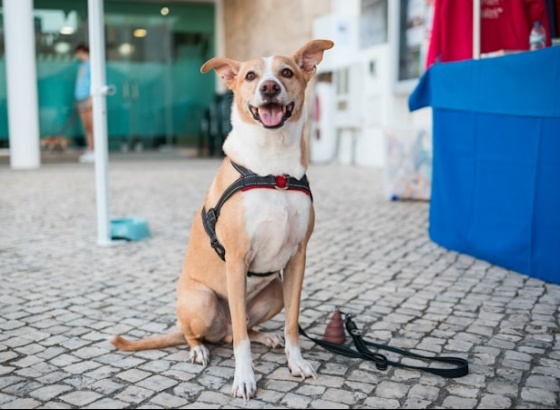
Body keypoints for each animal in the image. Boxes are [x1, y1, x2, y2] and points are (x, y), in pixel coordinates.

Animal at [111, 40, 334, 398]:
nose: (269, 88)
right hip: (202, 302)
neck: (274, 172)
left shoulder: (298, 259)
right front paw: (244, 378)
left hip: (274, 292)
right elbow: (241, 340)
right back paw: (199, 349)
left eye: (286, 72)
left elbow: (291, 324)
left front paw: (296, 362)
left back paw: (265, 336)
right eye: (250, 76)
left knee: (236, 330)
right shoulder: (237, 259)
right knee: (211, 333)